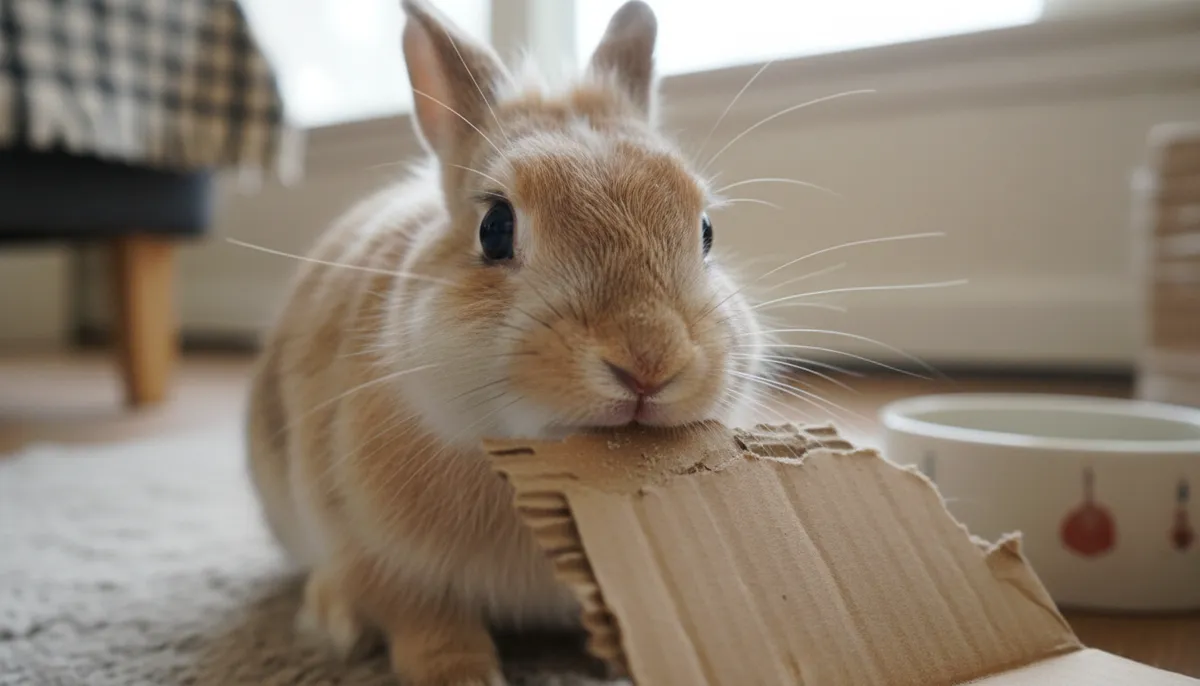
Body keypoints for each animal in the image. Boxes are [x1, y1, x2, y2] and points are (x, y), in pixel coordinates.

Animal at [244, 0, 768, 684]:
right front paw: (462, 676)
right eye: (495, 228)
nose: (649, 361)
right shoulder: (380, 560)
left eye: (705, 231)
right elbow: (427, 623)